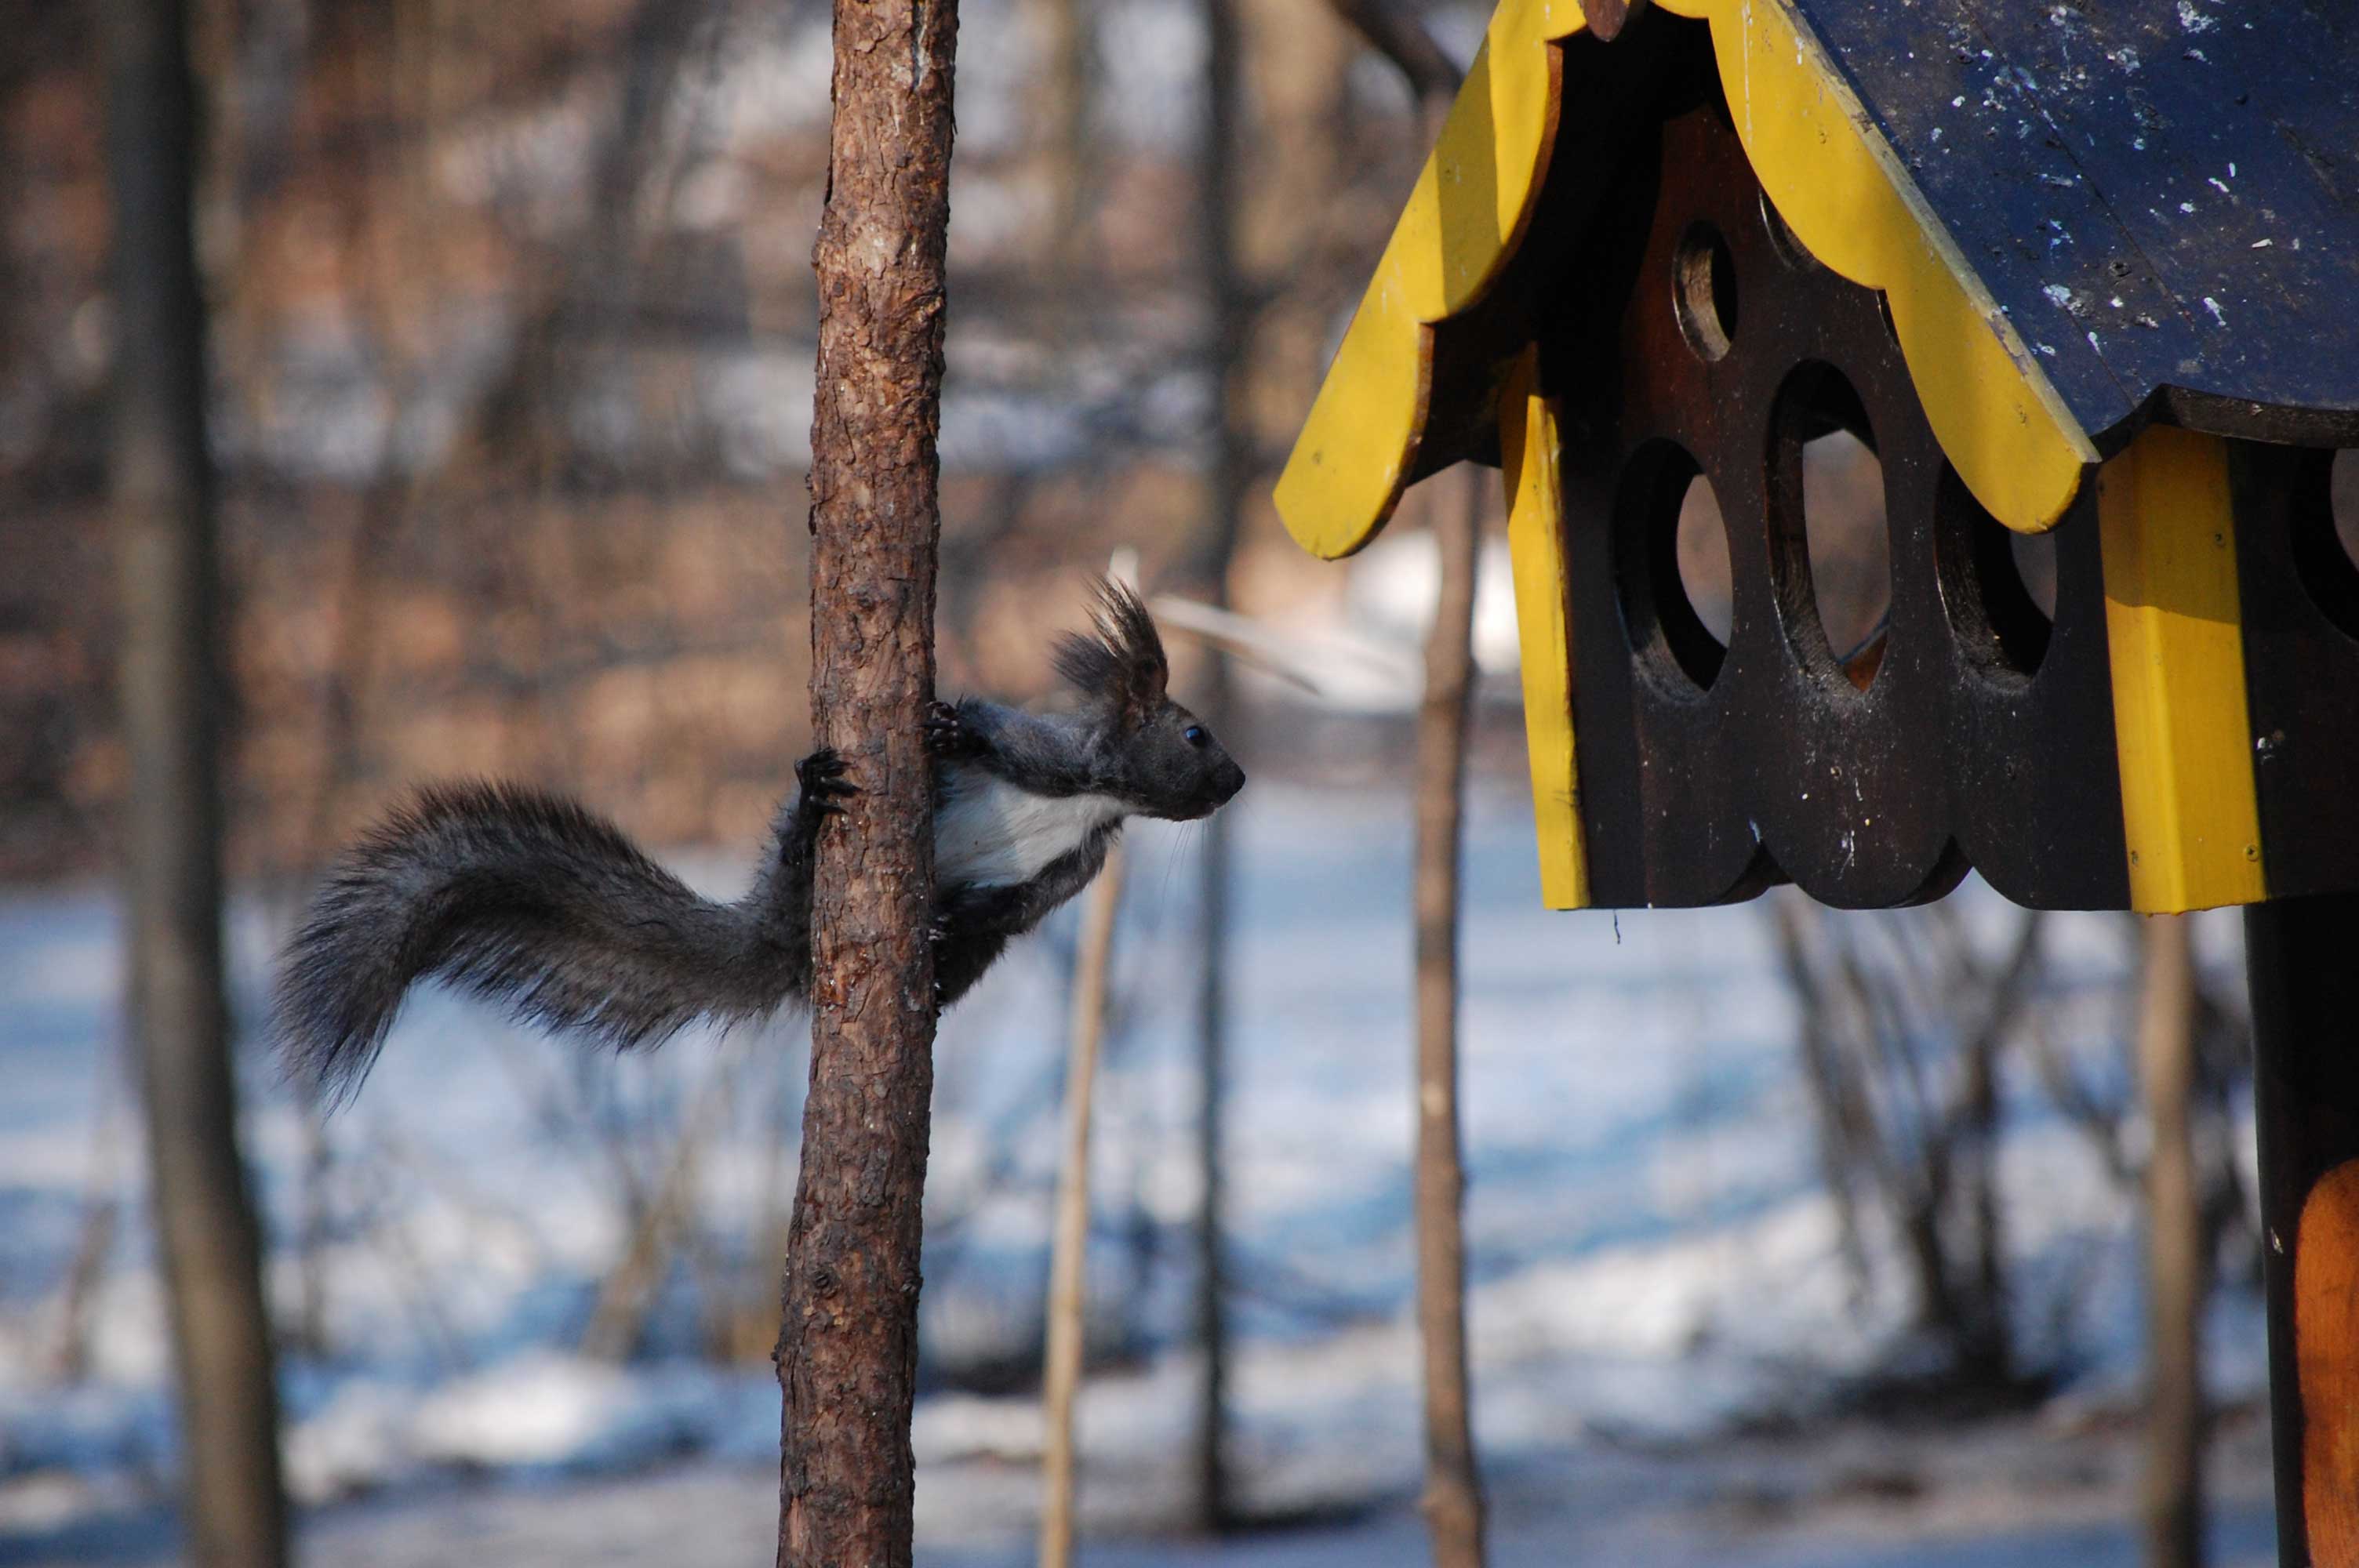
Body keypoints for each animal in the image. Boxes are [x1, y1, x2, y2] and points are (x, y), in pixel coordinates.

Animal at [271, 575, 1255, 1098]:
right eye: (1194, 732)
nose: (1240, 780)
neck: (1098, 797)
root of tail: (781, 941)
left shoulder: (1079, 862)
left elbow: (1018, 905)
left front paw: (958, 916)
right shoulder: (1049, 756)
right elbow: (994, 737)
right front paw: (949, 731)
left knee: (968, 956)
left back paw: (935, 971)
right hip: (799, 865)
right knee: (795, 856)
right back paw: (816, 814)